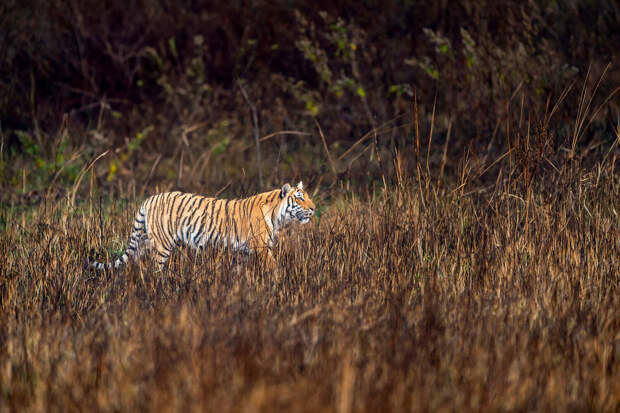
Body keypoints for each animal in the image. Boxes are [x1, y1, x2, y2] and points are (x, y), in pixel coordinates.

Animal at [88, 181, 314, 270]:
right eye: (300, 198)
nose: (313, 208)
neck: (278, 217)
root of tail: (149, 198)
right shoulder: (261, 248)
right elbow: (274, 268)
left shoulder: (243, 251)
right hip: (161, 245)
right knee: (155, 270)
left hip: (143, 241)